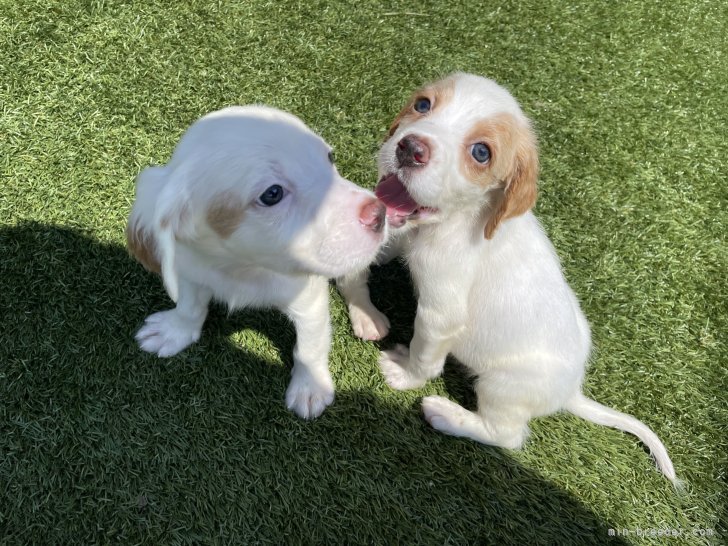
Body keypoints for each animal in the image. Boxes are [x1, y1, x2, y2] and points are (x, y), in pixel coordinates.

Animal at [126, 105, 390, 416]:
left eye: (329, 158)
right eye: (272, 194)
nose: (379, 213)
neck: (242, 268)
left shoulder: (310, 300)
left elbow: (309, 347)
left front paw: (310, 387)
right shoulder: (190, 269)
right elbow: (189, 307)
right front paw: (174, 331)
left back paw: (367, 316)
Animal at [338, 73, 680, 480]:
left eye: (481, 153)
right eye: (422, 105)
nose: (410, 149)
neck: (450, 222)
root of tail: (572, 391)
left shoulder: (440, 315)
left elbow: (425, 357)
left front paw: (405, 376)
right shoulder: (397, 239)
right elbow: (358, 264)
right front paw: (363, 310)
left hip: (502, 387)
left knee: (507, 435)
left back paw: (447, 415)